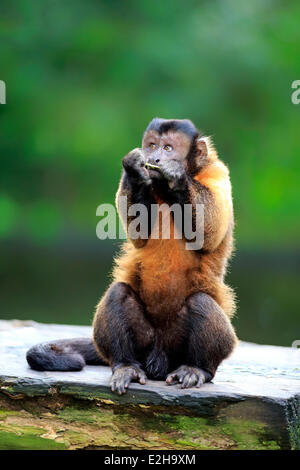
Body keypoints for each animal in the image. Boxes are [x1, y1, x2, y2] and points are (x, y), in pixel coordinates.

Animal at [26, 116, 237, 392]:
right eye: (151, 145)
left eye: (167, 148)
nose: (154, 158)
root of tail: (158, 360)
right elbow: (139, 232)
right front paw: (135, 170)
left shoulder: (218, 173)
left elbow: (209, 230)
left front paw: (176, 176)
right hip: (144, 346)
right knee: (119, 293)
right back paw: (125, 365)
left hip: (179, 347)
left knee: (200, 302)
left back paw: (197, 368)